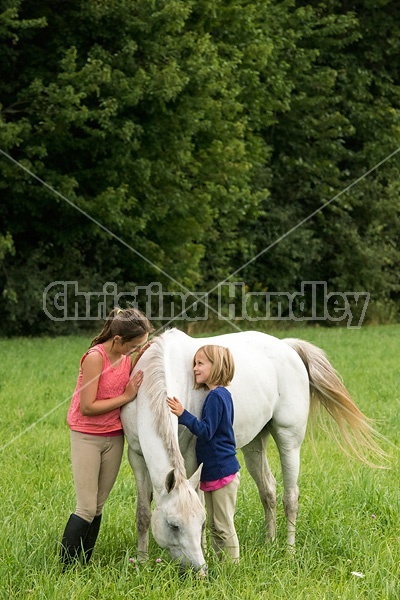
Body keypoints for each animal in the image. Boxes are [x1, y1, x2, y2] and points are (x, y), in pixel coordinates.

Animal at [120, 328, 382, 572]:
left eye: (201, 523)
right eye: (174, 525)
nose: (199, 569)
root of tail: (288, 347)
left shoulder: (192, 457)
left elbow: (202, 502)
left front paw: (206, 549)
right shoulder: (137, 456)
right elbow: (143, 513)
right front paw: (141, 562)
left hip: (289, 440)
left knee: (290, 497)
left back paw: (289, 551)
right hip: (255, 444)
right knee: (268, 490)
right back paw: (270, 542)